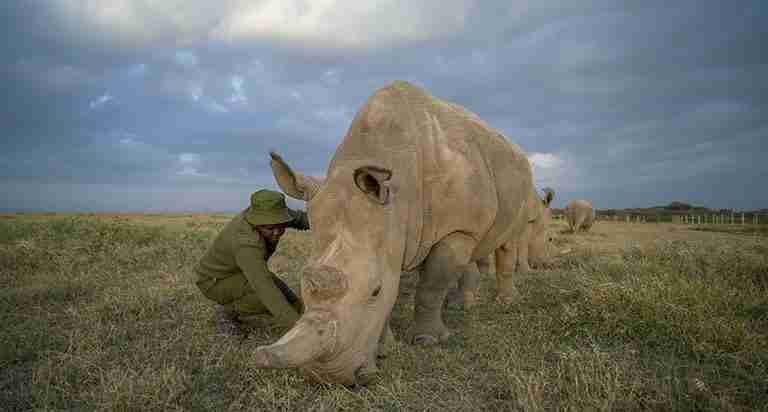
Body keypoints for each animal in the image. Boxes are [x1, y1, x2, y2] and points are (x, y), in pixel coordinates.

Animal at [253, 81, 540, 386]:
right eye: (304, 282)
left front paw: (427, 341)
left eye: (375, 291)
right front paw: (385, 350)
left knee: (507, 241)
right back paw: (460, 306)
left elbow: (432, 284)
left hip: (518, 183)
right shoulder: (389, 231)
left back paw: (505, 301)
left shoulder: (455, 228)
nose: (328, 378)